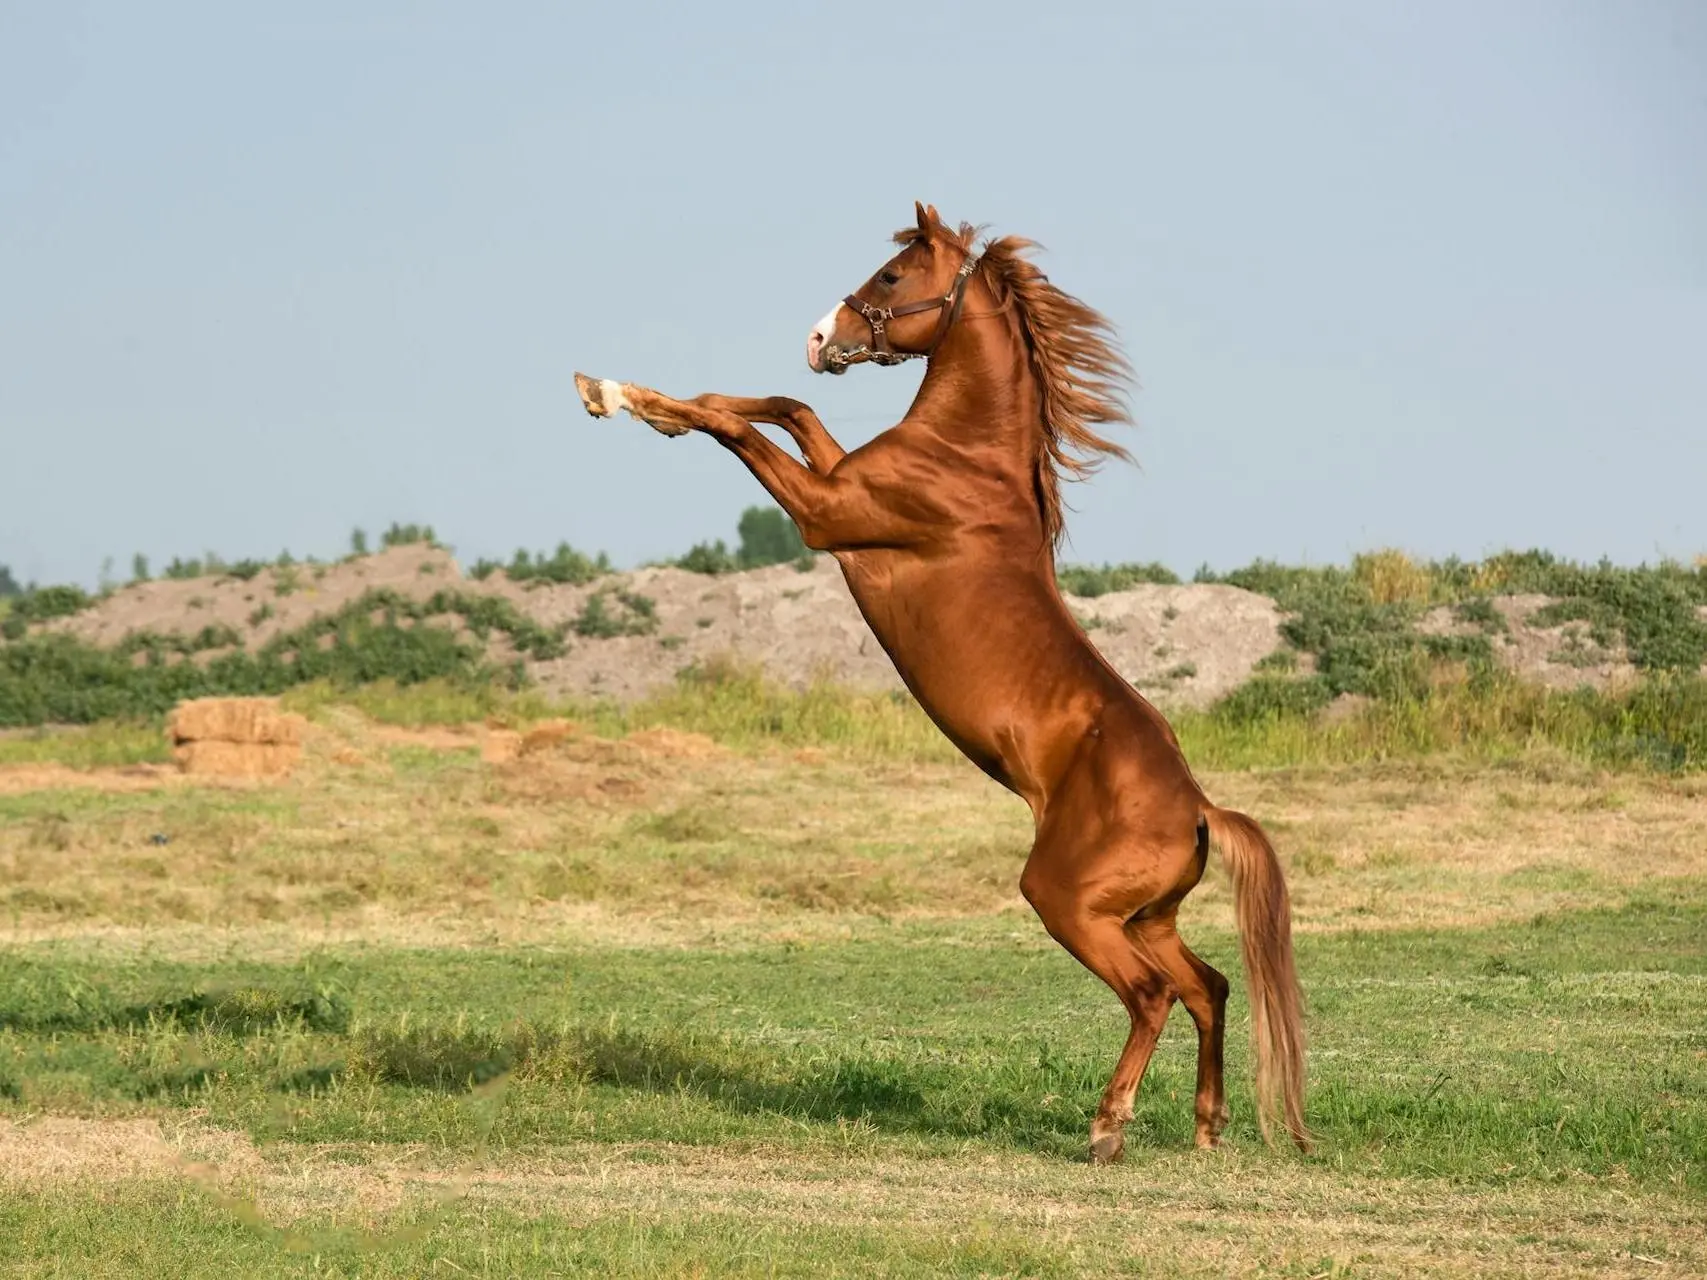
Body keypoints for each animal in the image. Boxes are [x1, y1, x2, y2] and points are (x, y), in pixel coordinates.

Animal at [573, 197, 1304, 1160]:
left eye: (891, 276)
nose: (820, 336)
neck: (965, 461)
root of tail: (1199, 812)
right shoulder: (835, 480)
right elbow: (784, 406)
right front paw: (634, 398)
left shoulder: (826, 514)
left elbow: (750, 427)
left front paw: (620, 398)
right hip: (1146, 918)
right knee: (1208, 985)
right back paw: (1207, 1125)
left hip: (1069, 905)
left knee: (1152, 996)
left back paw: (1106, 1128)